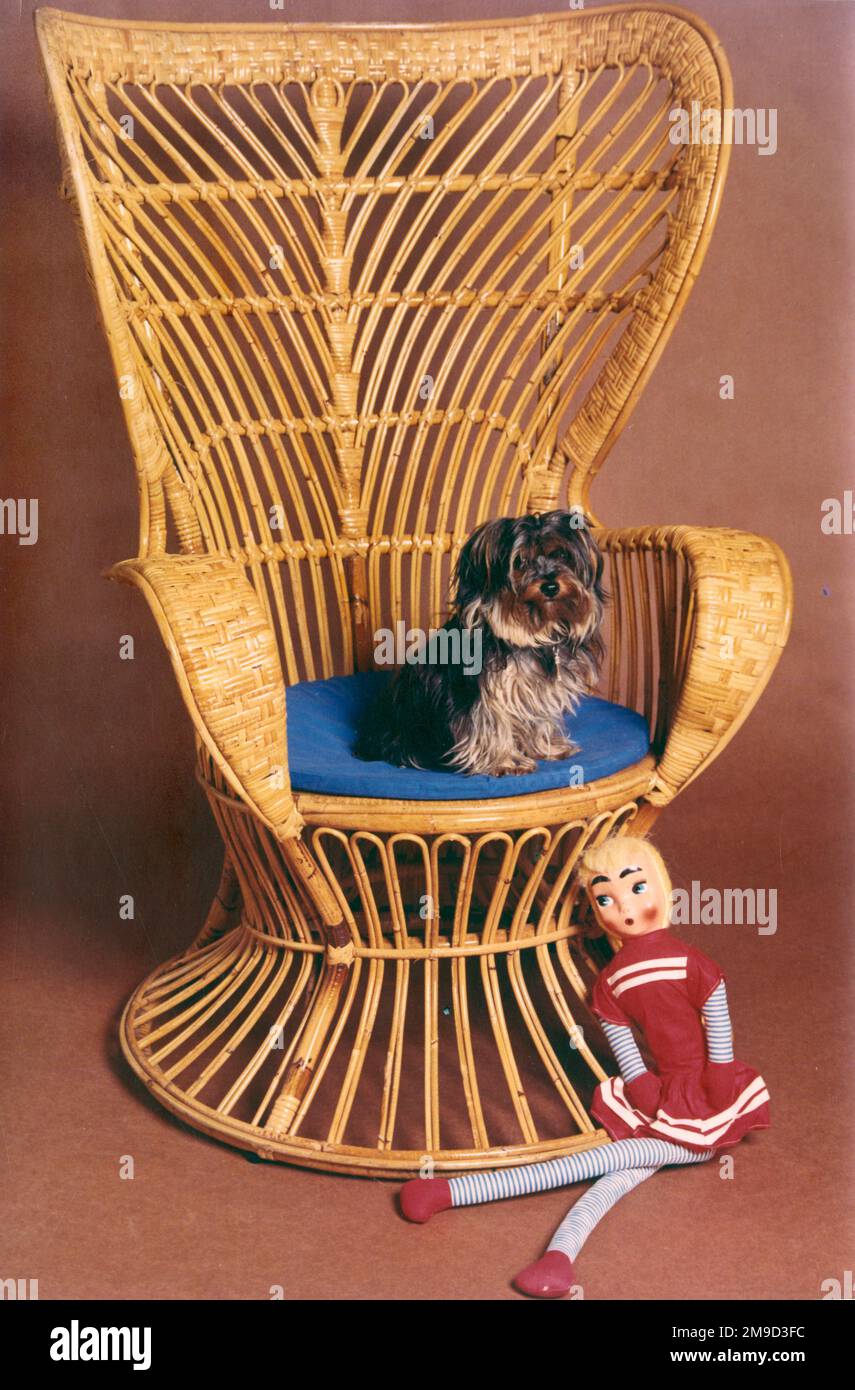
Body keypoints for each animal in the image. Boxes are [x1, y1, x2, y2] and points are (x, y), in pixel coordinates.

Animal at [354, 511, 608, 778]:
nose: (550, 586)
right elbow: (491, 726)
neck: (536, 634)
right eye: (520, 562)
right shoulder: (485, 695)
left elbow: (538, 719)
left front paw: (546, 748)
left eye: (561, 555)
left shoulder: (536, 691)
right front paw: (506, 762)